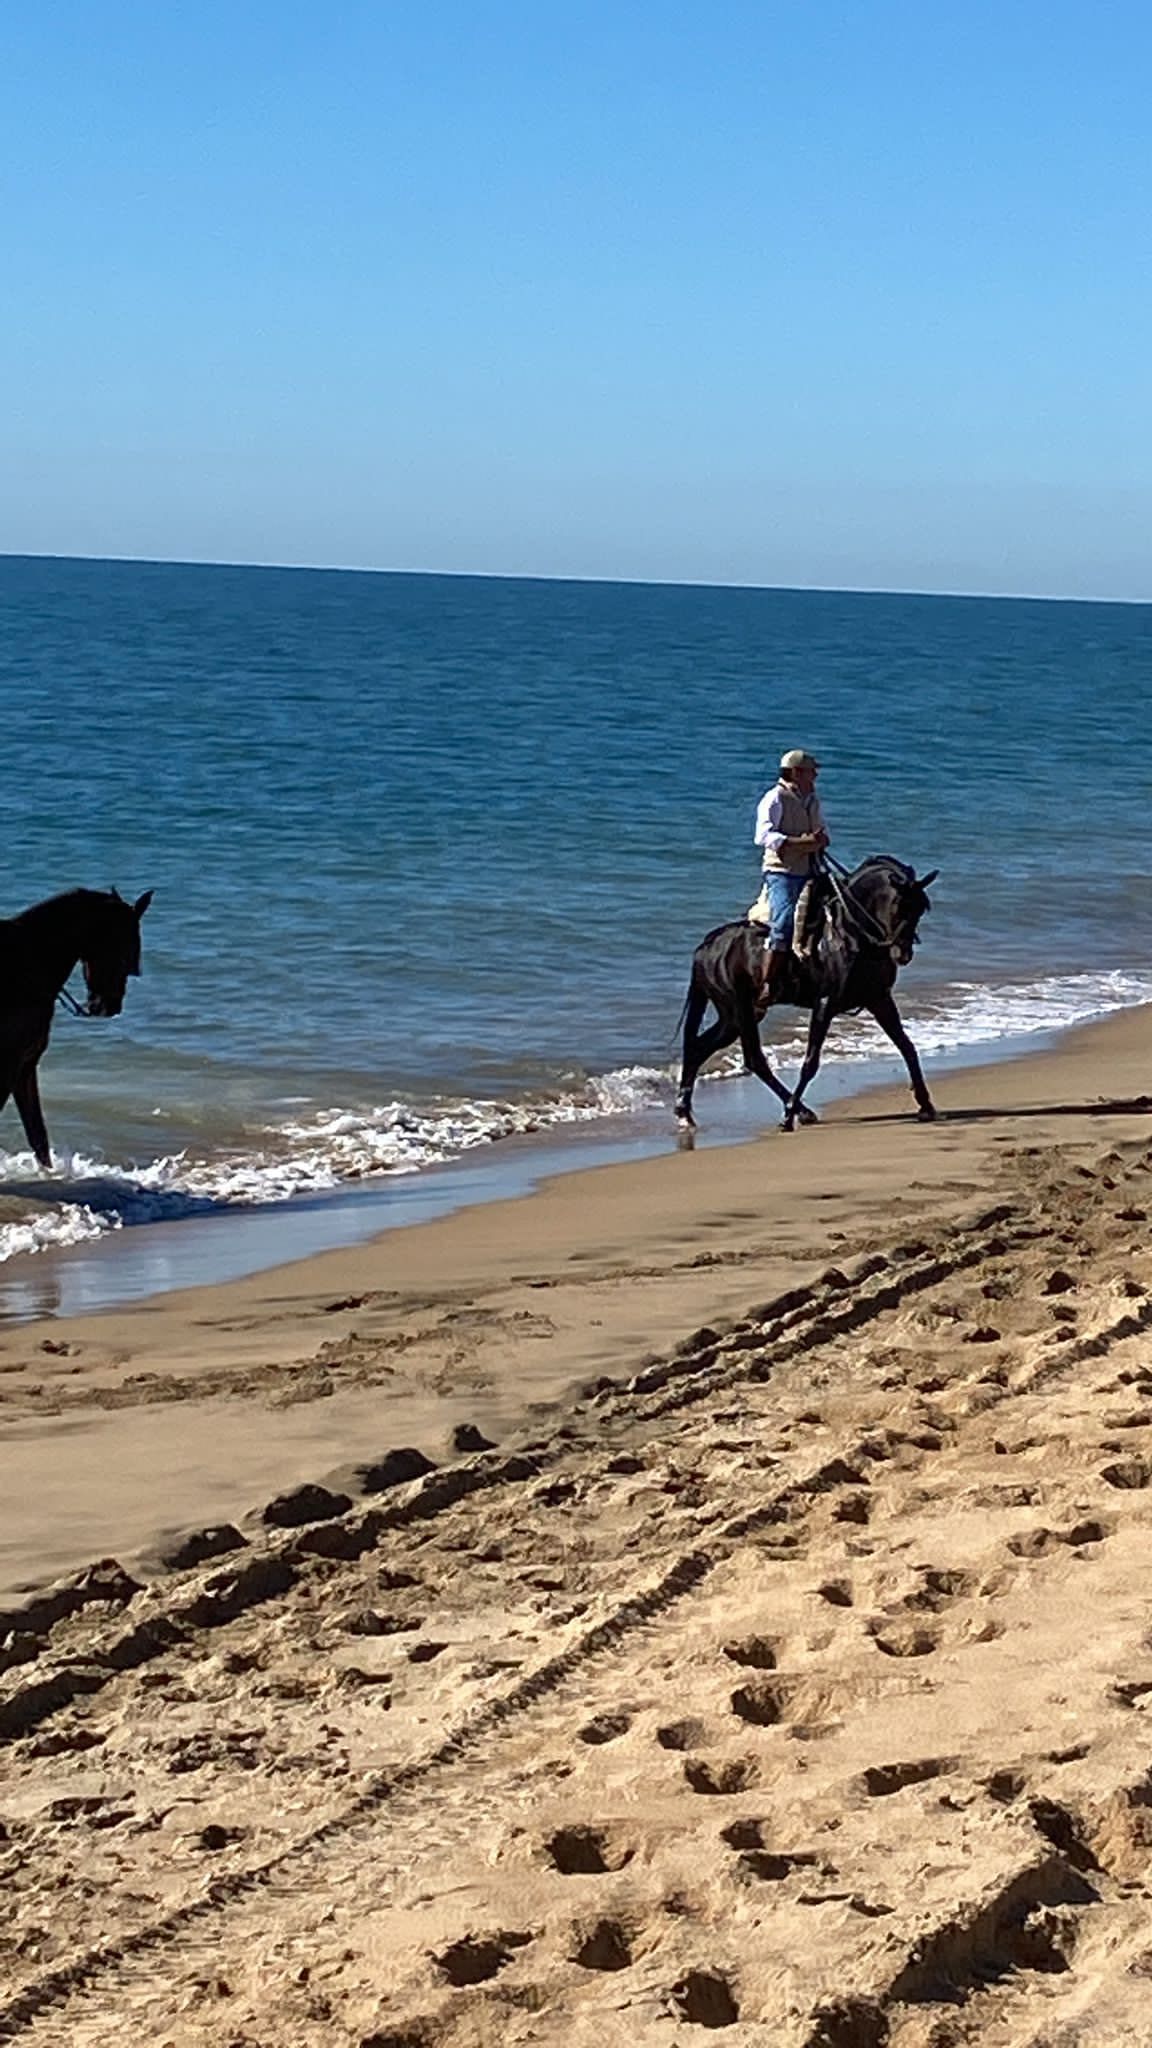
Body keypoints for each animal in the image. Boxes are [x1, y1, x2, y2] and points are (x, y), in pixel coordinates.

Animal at [672, 851, 934, 1138]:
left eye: (921, 908)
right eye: (899, 905)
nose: (903, 954)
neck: (851, 934)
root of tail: (706, 947)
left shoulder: (879, 999)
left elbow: (907, 1046)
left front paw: (926, 1105)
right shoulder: (825, 1005)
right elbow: (810, 1063)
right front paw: (786, 1119)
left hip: (734, 1016)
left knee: (700, 1048)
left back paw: (685, 1112)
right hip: (739, 1010)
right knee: (754, 1059)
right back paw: (797, 1111)